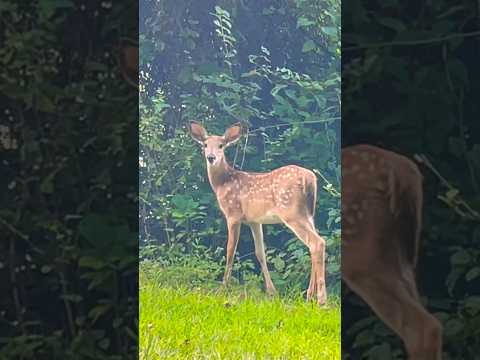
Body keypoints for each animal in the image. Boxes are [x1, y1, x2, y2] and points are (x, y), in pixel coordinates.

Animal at [188, 121, 326, 304]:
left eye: (221, 145)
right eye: (204, 145)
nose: (211, 157)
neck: (222, 183)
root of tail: (310, 179)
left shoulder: (233, 214)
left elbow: (230, 250)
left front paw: (223, 288)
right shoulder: (255, 221)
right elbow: (260, 253)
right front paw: (272, 292)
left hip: (291, 212)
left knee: (317, 242)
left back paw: (321, 300)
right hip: (308, 214)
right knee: (312, 244)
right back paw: (309, 295)